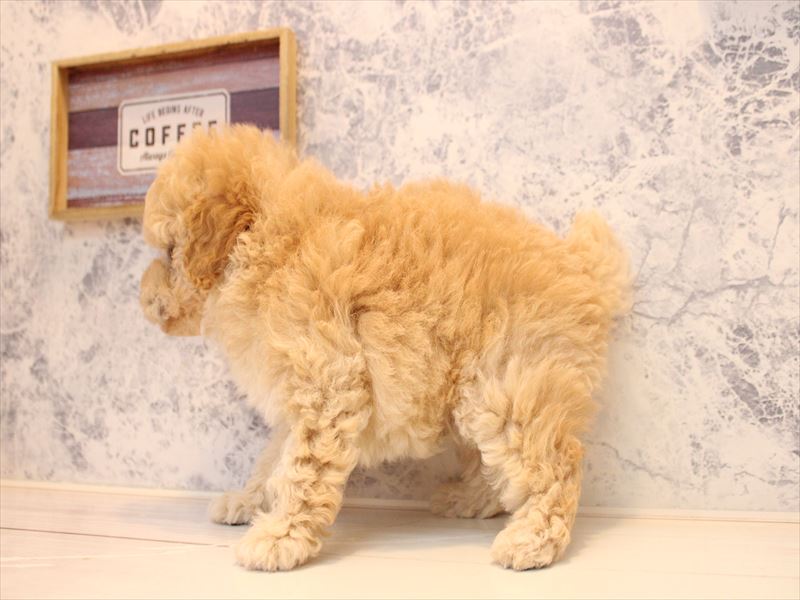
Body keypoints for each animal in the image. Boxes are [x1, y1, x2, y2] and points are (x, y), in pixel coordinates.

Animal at [140, 124, 630, 571]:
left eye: (169, 252)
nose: (143, 295)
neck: (266, 243)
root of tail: (580, 265)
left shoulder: (328, 380)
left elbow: (301, 468)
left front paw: (279, 538)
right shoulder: (299, 393)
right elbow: (274, 459)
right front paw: (248, 501)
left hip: (508, 381)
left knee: (555, 462)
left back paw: (533, 540)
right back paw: (470, 500)